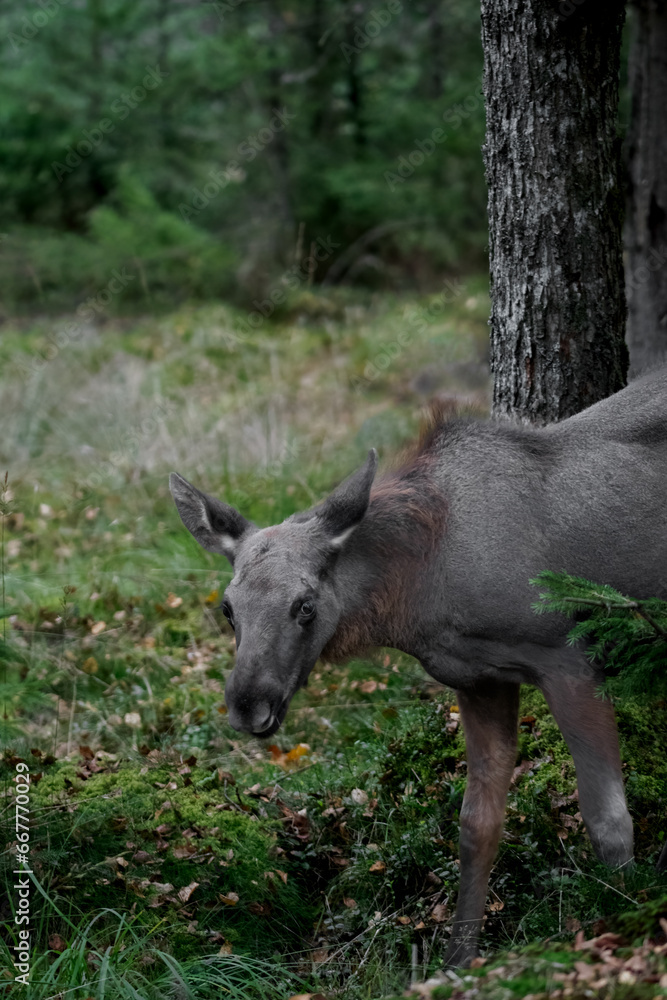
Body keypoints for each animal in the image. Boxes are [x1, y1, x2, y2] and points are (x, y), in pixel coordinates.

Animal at [172, 364, 667, 964]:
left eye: (305, 605)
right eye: (228, 607)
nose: (248, 704)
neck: (422, 591)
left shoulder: (570, 659)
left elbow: (608, 818)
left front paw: (629, 916)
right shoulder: (480, 680)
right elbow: (477, 826)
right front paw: (456, 960)